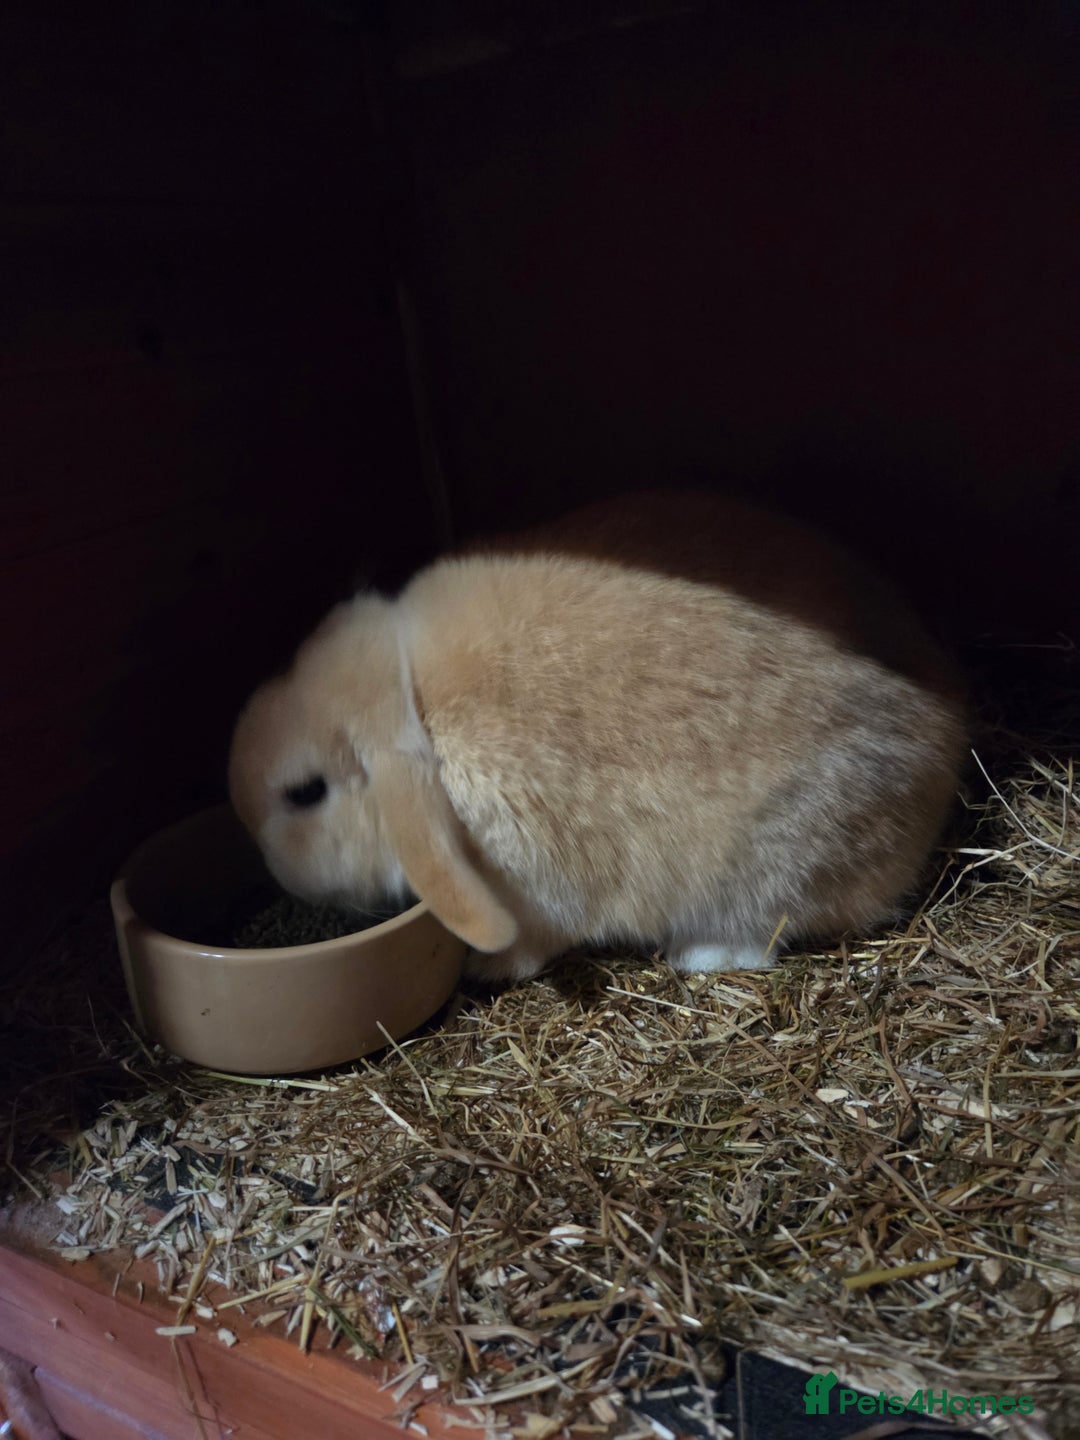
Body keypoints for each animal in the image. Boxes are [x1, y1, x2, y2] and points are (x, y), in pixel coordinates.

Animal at [228, 490, 966, 982]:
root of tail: (947, 742)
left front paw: (485, 967)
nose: (275, 871)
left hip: (775, 862)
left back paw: (698, 954)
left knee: (760, 935)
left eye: (305, 793)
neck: (415, 699)